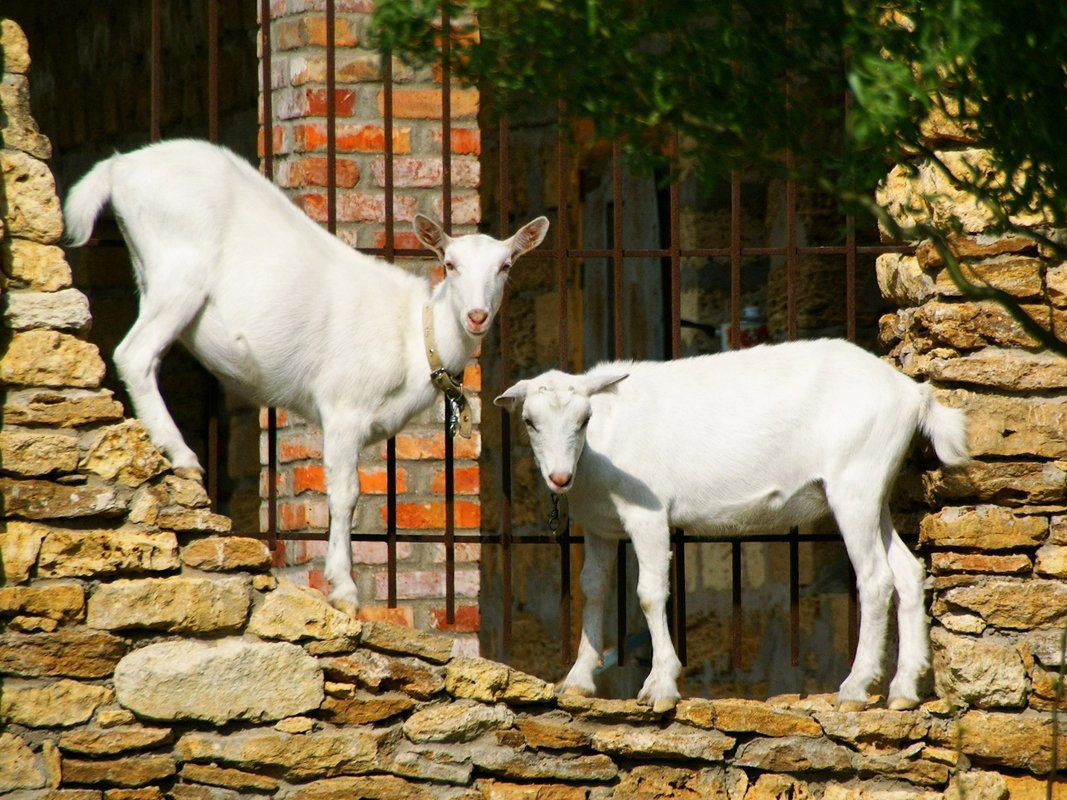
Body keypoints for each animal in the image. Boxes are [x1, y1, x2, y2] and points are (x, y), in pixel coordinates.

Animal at [64, 139, 550, 614]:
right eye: (449, 264)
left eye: (506, 266)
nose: (476, 316)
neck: (415, 335)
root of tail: (120, 167)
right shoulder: (342, 407)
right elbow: (345, 492)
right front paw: (344, 589)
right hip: (178, 272)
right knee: (135, 353)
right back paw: (181, 455)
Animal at [495, 339, 973, 712]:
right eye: (530, 421)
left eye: (584, 419)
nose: (559, 478)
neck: (600, 446)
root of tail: (913, 393)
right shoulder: (598, 525)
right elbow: (593, 589)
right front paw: (577, 681)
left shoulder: (648, 514)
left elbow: (649, 593)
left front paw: (661, 685)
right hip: (876, 491)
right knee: (907, 572)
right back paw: (903, 690)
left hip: (854, 483)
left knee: (875, 578)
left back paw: (855, 688)